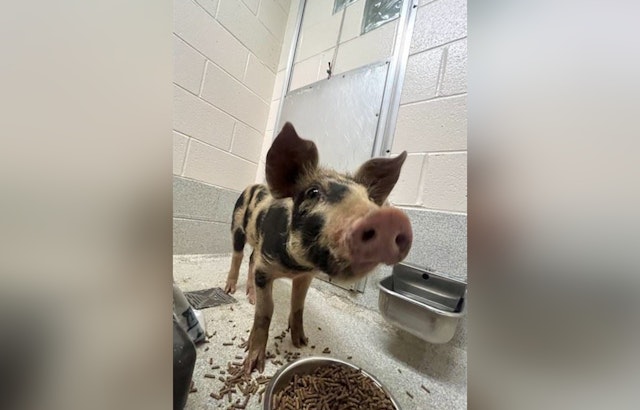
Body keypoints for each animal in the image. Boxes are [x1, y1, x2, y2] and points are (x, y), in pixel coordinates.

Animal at [224, 122, 412, 374]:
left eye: (369, 198)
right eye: (313, 192)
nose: (390, 218)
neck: (294, 266)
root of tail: (253, 185)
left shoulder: (305, 276)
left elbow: (298, 306)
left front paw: (301, 342)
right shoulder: (266, 269)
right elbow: (266, 312)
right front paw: (252, 366)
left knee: (251, 258)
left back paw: (251, 297)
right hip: (237, 225)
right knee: (237, 255)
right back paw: (229, 290)